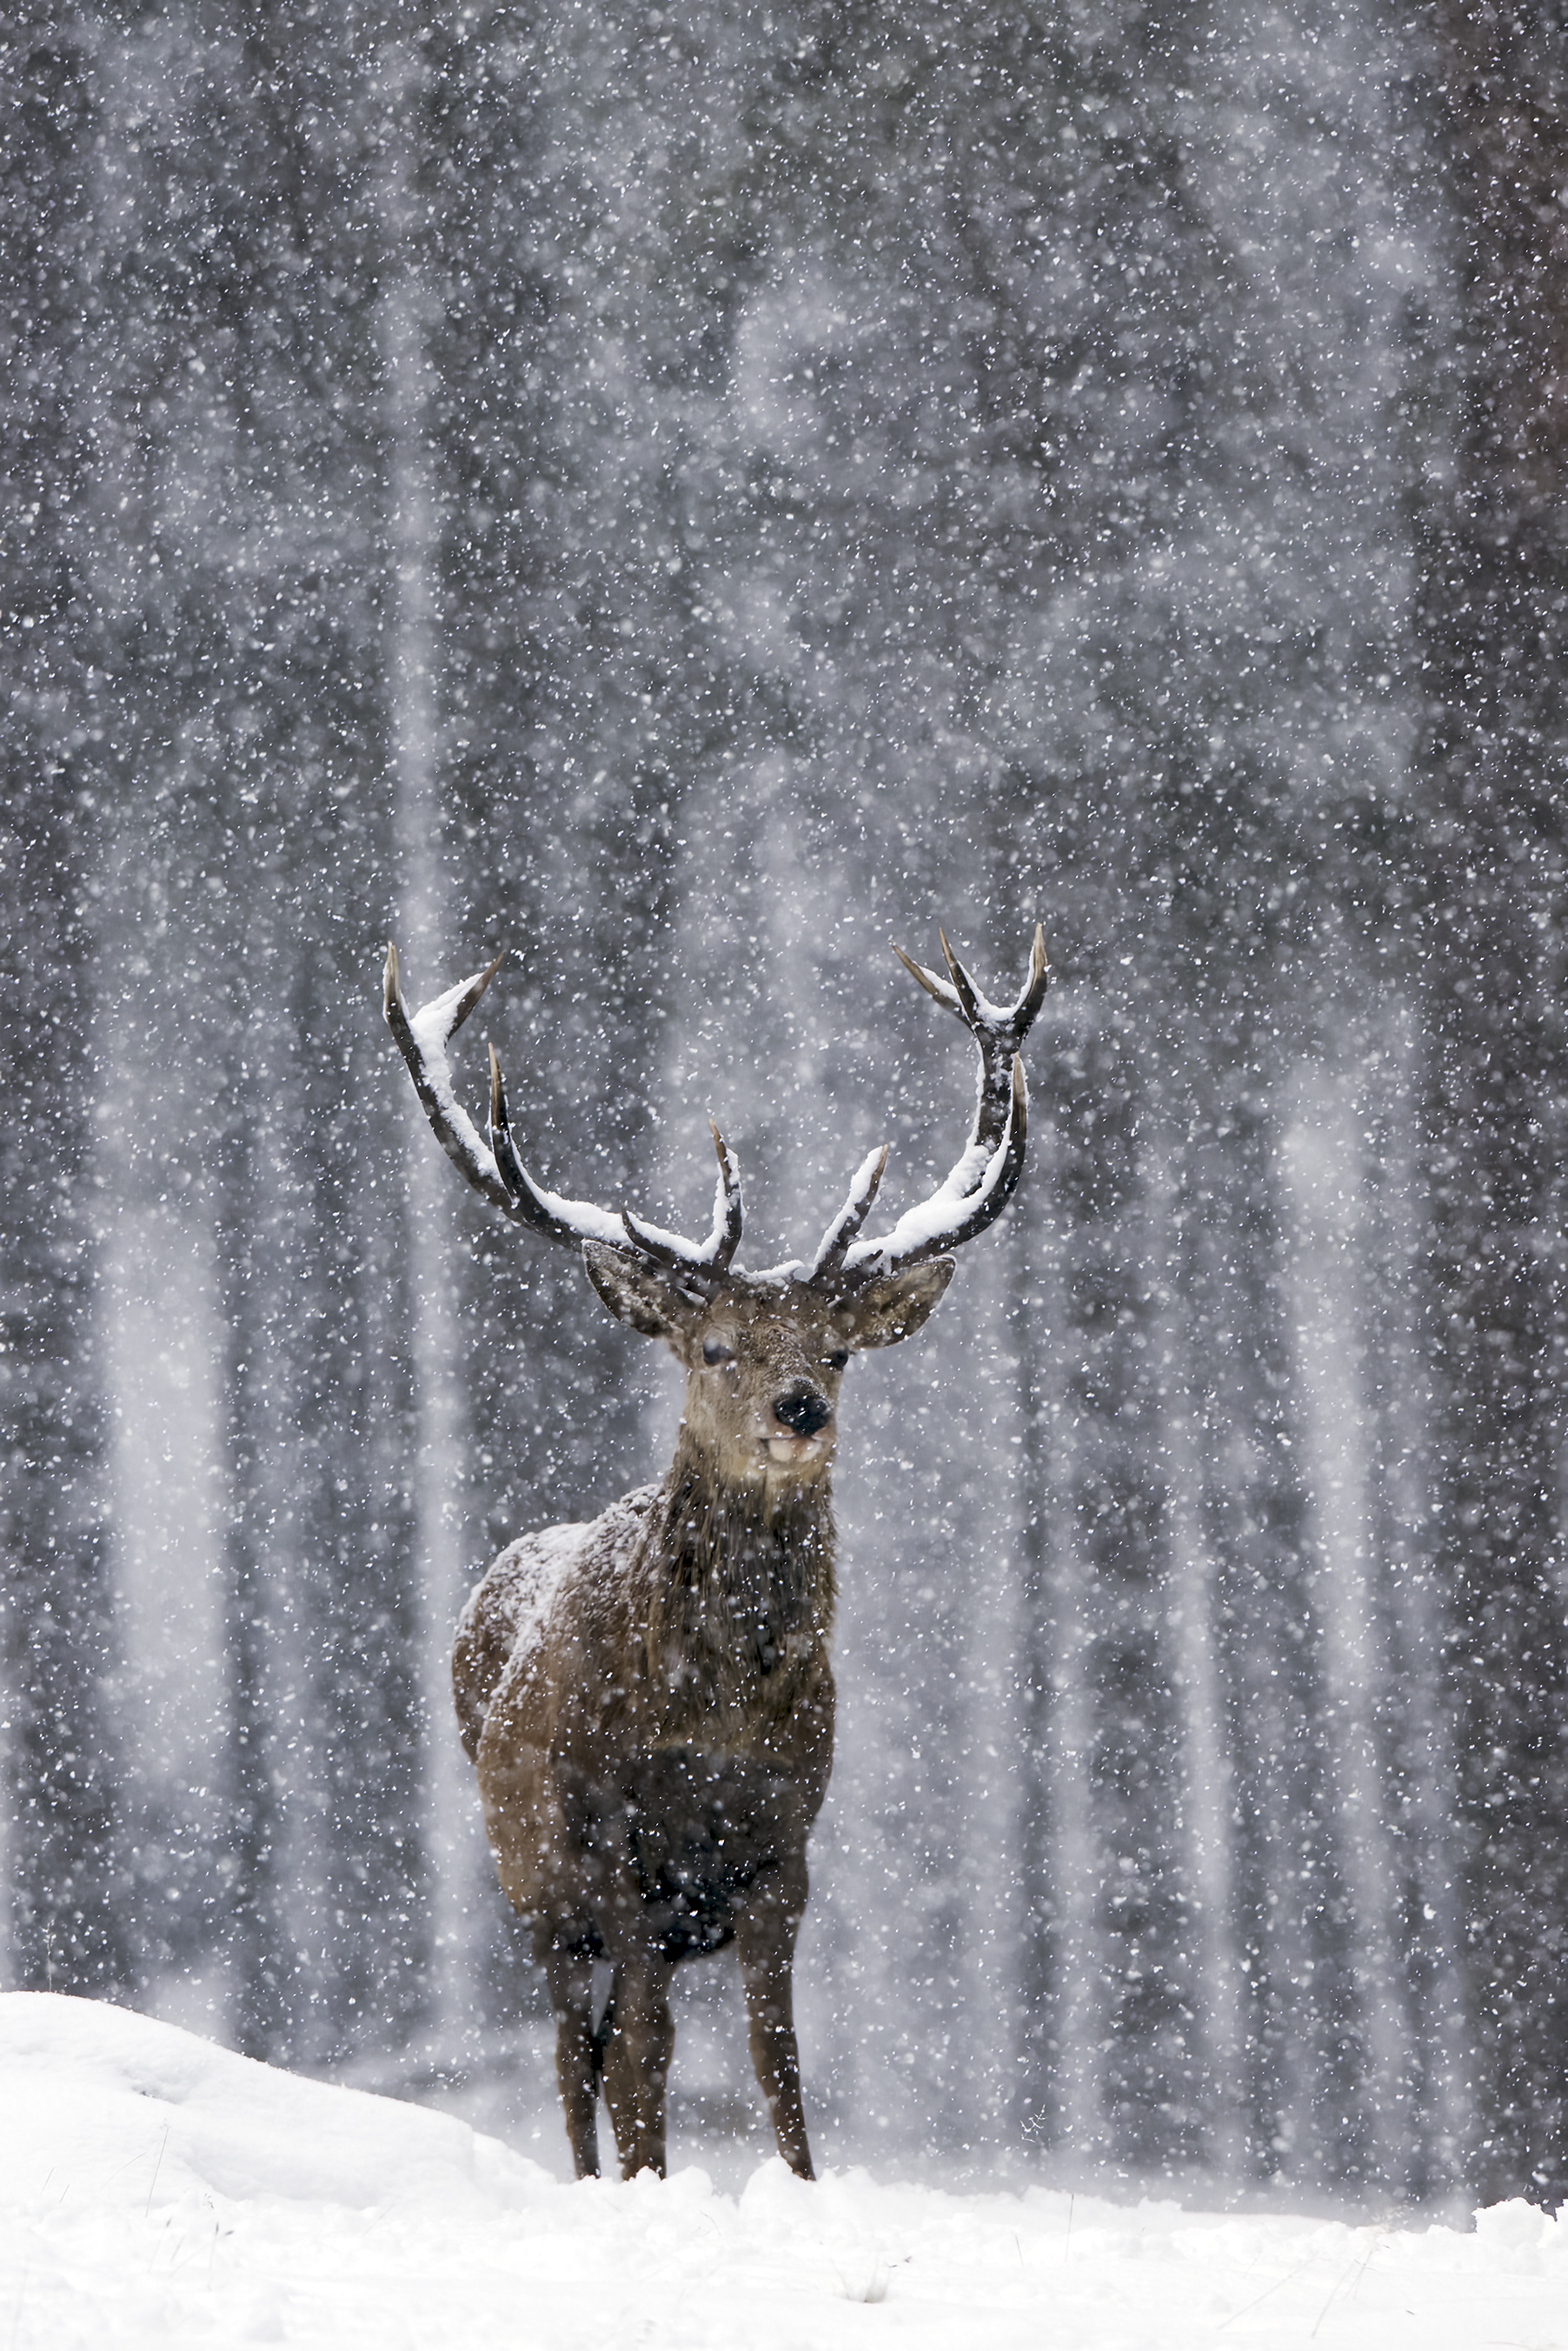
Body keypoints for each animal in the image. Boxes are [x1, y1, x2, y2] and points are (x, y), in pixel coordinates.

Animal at [383, 924, 1049, 2182]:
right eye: (715, 1345)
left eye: (837, 1349)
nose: (798, 1409)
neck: (714, 1718)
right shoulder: (614, 1853)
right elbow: (641, 2059)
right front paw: (652, 2185)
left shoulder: (782, 1848)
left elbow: (773, 2056)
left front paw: (798, 2185)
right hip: (534, 1893)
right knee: (575, 2055)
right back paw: (598, 2183)